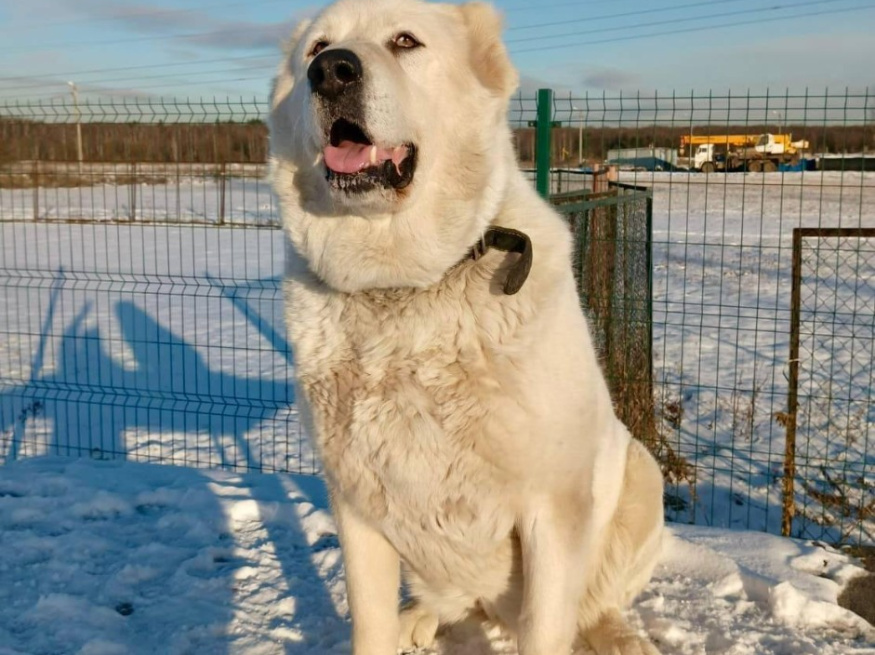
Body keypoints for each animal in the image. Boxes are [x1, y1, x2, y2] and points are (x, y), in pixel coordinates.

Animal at [266, 0, 664, 652]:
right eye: (316, 48)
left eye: (405, 41)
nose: (331, 71)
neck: (403, 285)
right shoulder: (355, 504)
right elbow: (369, 625)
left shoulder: (554, 510)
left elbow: (548, 630)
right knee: (453, 603)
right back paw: (420, 618)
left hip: (640, 477)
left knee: (591, 606)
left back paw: (617, 635)